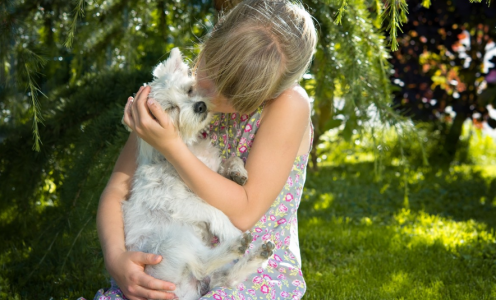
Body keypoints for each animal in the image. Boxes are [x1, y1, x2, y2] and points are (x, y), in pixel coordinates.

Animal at [120, 48, 276, 298]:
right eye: (170, 108)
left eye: (189, 90)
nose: (200, 106)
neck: (189, 148)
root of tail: (187, 291)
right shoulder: (178, 201)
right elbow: (214, 210)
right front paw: (230, 230)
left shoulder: (210, 170)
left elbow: (230, 159)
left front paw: (237, 172)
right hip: (172, 242)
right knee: (203, 264)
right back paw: (237, 244)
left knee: (227, 277)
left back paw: (258, 255)